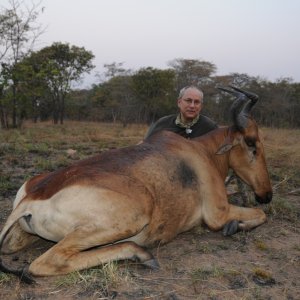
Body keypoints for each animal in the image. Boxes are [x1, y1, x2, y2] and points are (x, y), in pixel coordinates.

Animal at [0, 85, 272, 282]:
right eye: (252, 144)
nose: (266, 195)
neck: (200, 152)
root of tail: (32, 197)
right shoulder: (217, 213)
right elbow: (259, 215)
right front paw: (235, 226)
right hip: (133, 217)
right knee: (45, 262)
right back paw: (142, 255)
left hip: (23, 235)